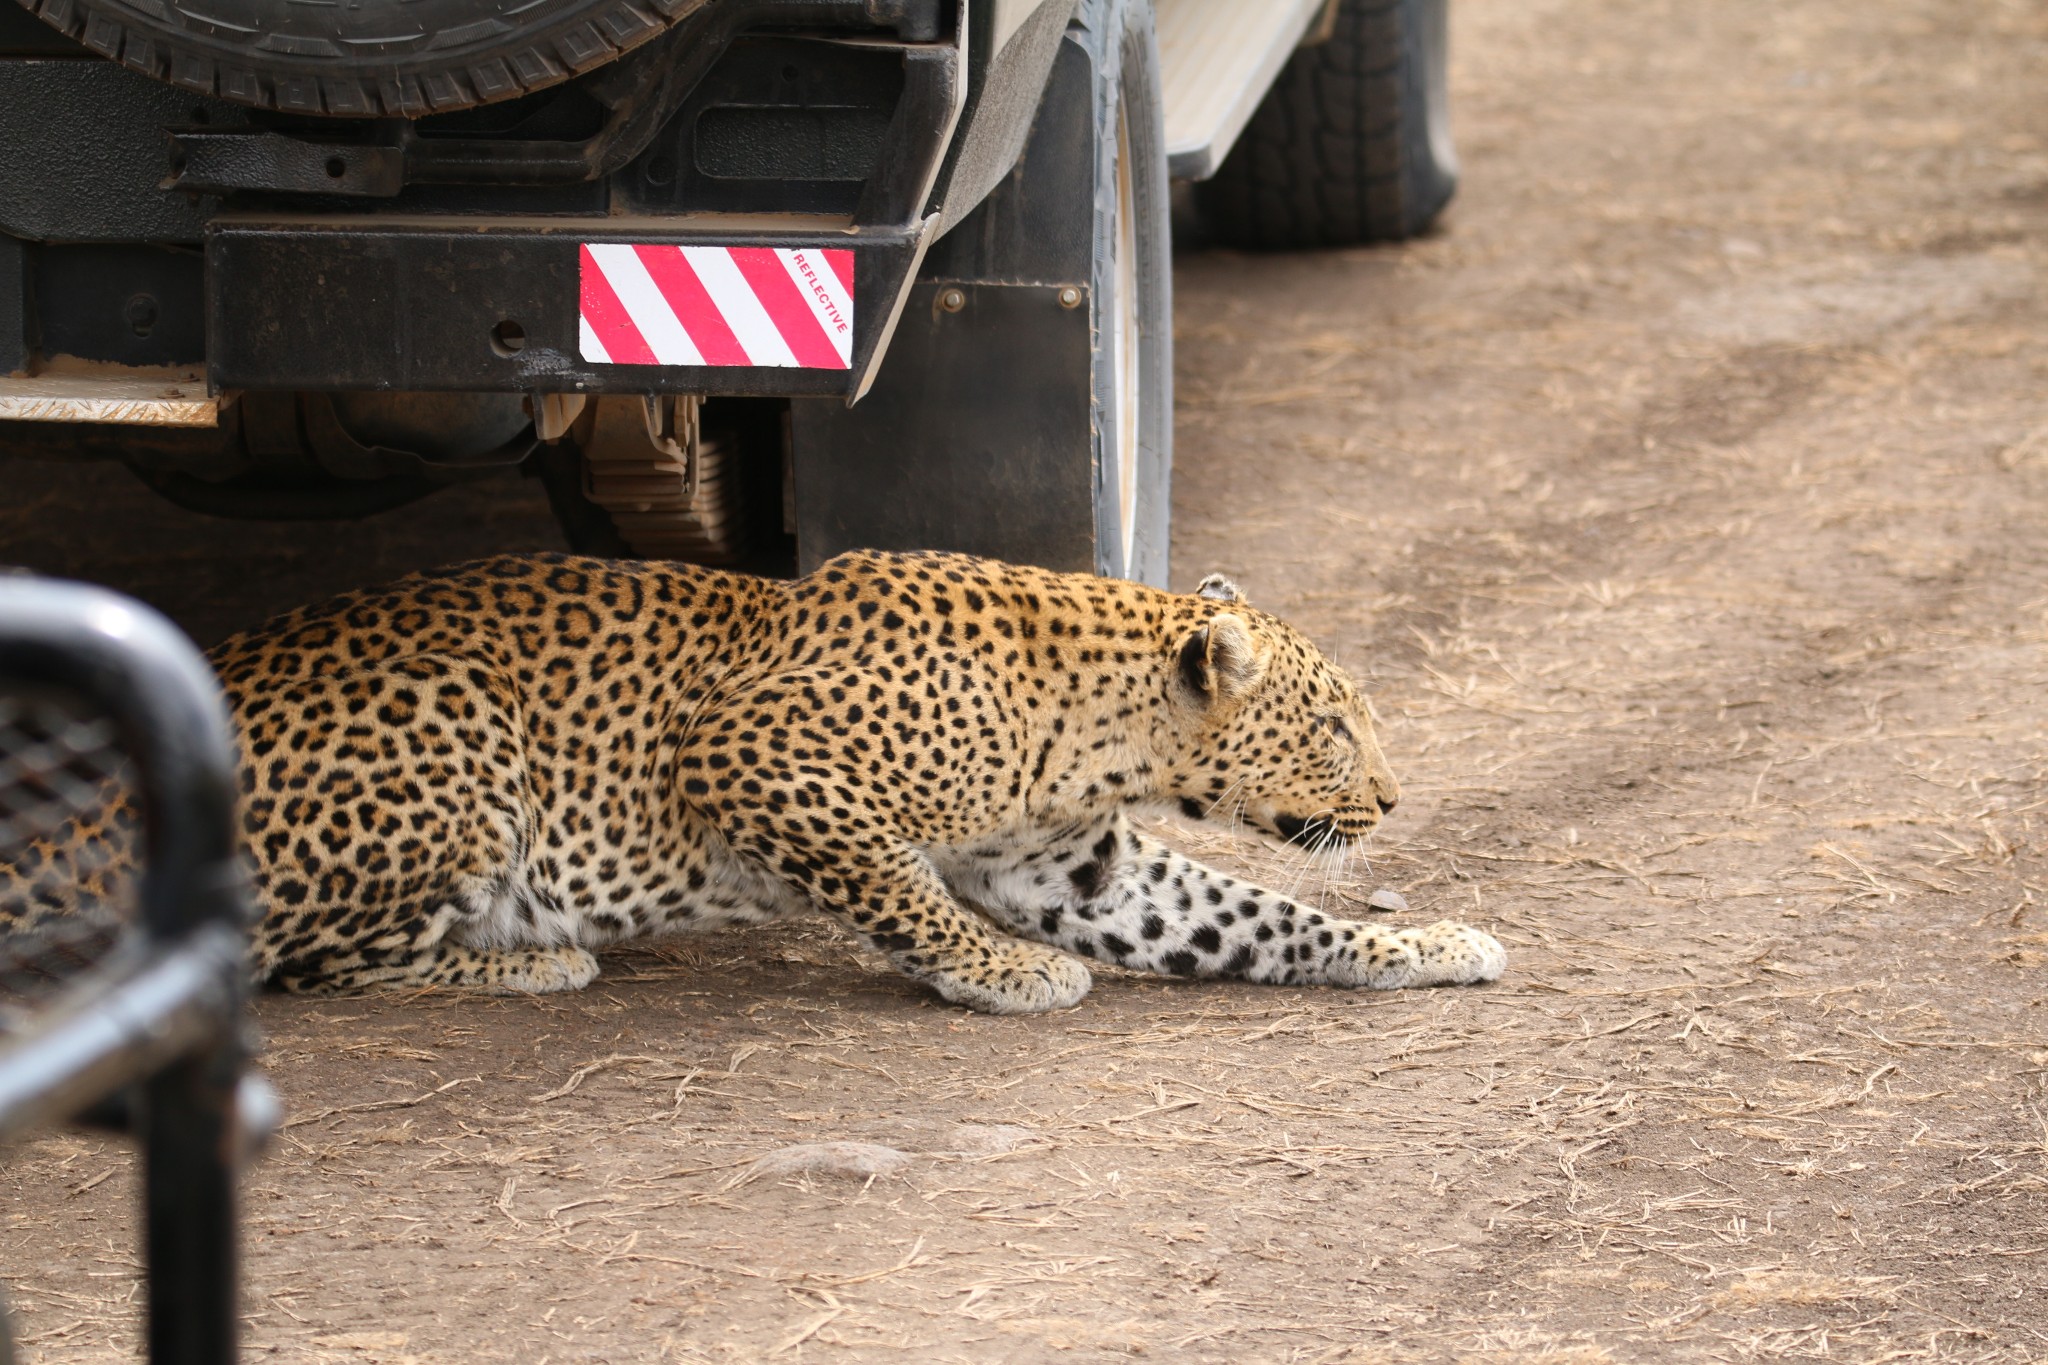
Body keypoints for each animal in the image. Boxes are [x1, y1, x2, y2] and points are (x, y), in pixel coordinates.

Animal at [4, 548, 1507, 1015]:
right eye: (1335, 729)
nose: (1392, 803)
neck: (1093, 718)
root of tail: (81, 799)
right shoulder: (753, 755)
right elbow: (899, 887)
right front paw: (999, 972)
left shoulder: (1077, 867)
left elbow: (1257, 915)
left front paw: (1421, 940)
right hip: (451, 740)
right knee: (294, 961)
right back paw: (530, 957)